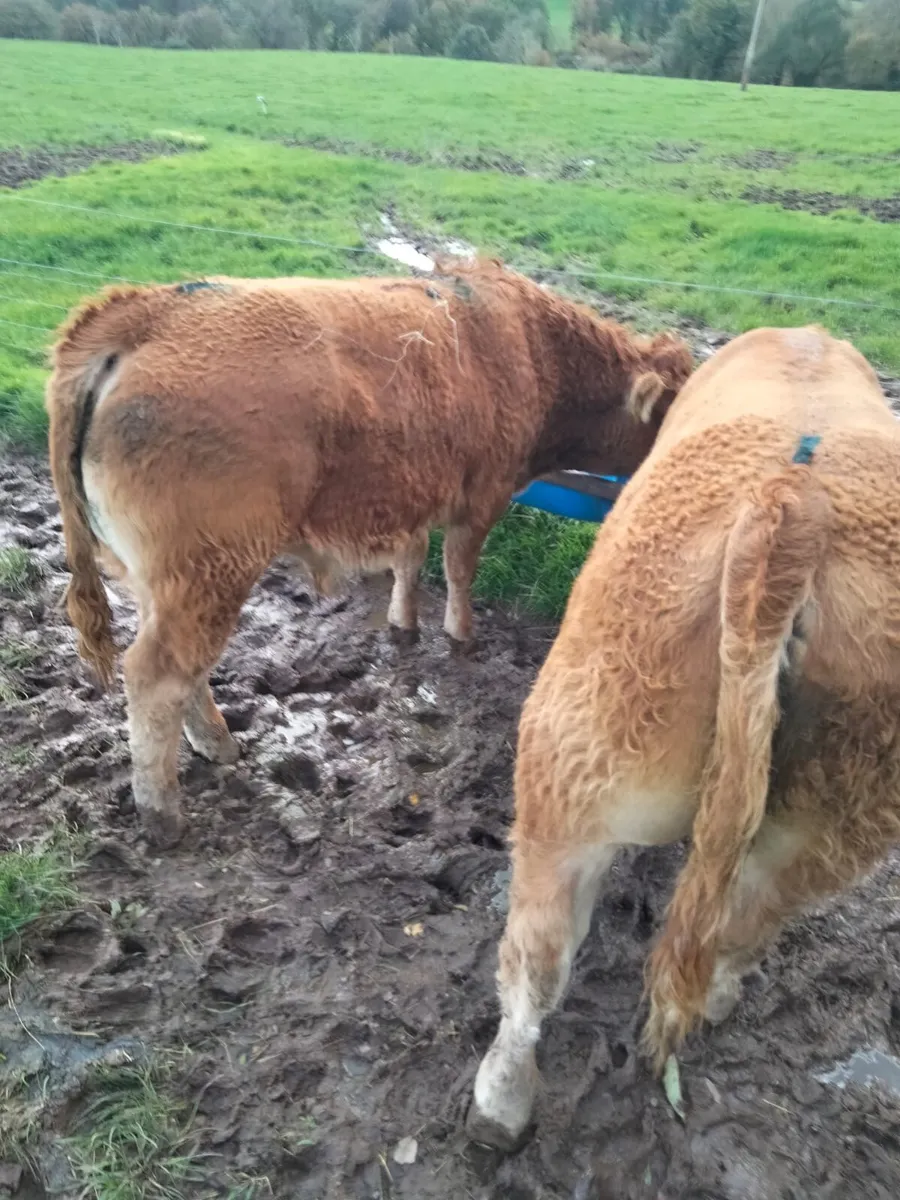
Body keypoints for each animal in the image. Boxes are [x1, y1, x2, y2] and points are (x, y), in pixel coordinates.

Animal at [46, 261, 692, 848]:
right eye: (672, 415)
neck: (530, 347)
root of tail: (149, 308)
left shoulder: (411, 493)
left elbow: (412, 557)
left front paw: (404, 626)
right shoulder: (480, 497)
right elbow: (459, 569)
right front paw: (460, 635)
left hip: (167, 581)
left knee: (184, 669)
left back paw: (216, 744)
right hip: (210, 569)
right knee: (157, 675)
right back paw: (162, 813)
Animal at [467, 324, 900, 1151]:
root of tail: (791, 504)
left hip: (569, 763)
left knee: (538, 956)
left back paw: (498, 1104)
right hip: (834, 824)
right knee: (745, 922)